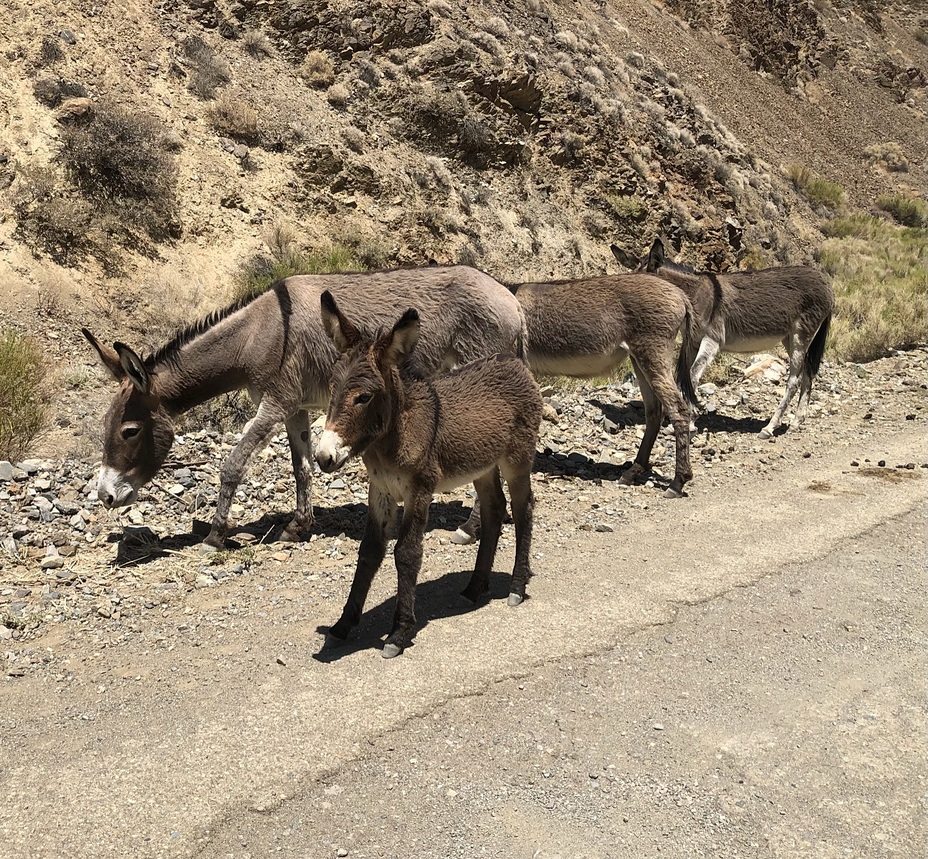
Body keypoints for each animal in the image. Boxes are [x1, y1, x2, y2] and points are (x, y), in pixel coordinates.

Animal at [316, 292, 540, 660]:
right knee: (495, 509)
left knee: (523, 511)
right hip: (483, 465)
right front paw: (342, 626)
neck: (393, 436)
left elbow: (407, 553)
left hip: (517, 459)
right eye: (331, 387)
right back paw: (474, 587)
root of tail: (515, 363)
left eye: (363, 397)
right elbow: (369, 553)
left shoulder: (419, 490)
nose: (324, 457)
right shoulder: (380, 491)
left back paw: (517, 588)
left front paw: (398, 632)